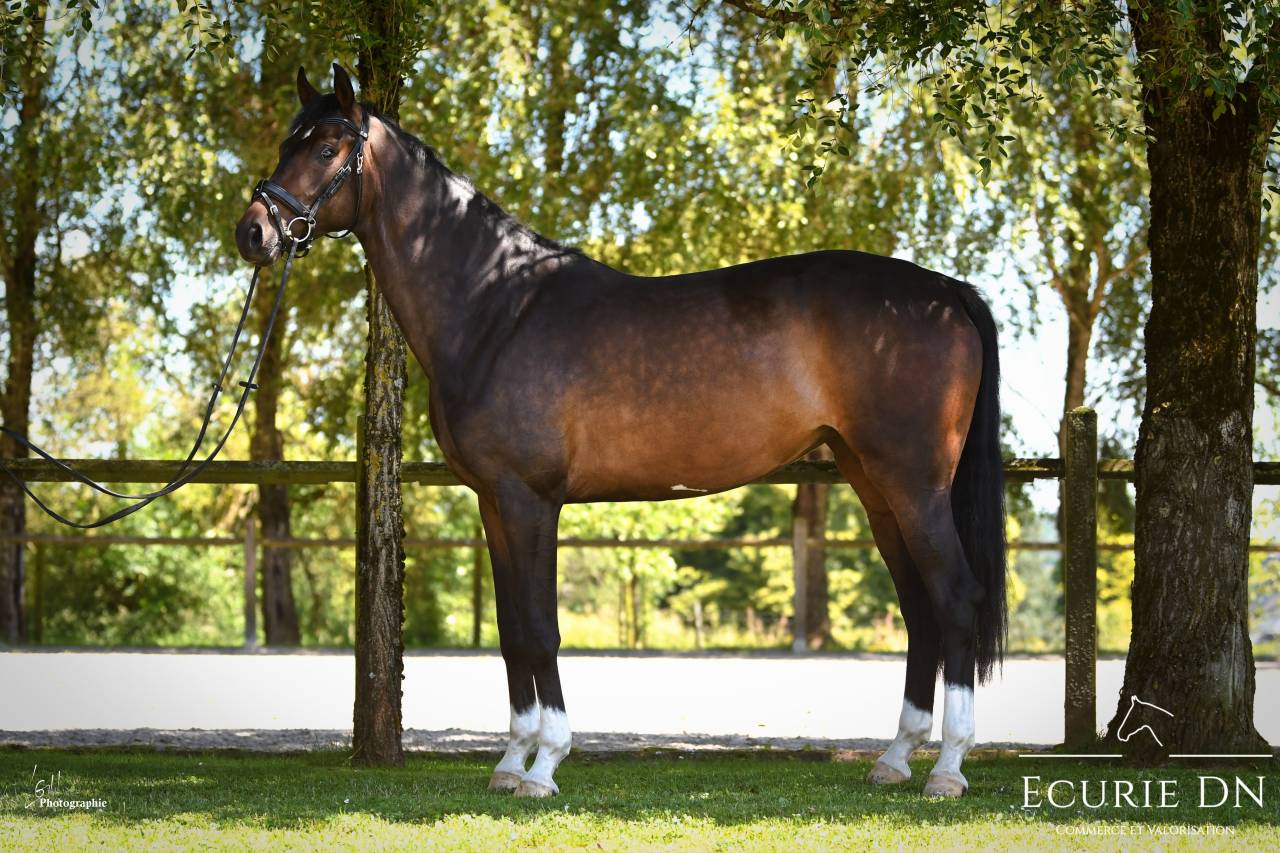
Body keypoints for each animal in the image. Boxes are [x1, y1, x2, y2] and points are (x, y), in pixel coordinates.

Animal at [236, 64, 1007, 799]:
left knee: (954, 598)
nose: (253, 232)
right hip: (875, 486)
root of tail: (947, 293)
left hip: (915, 484)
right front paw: (511, 762)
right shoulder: (494, 502)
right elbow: (513, 633)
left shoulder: (530, 499)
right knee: (920, 608)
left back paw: (947, 767)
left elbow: (540, 629)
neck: (496, 305)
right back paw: (896, 758)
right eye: (285, 143)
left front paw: (545, 764)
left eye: (327, 148)